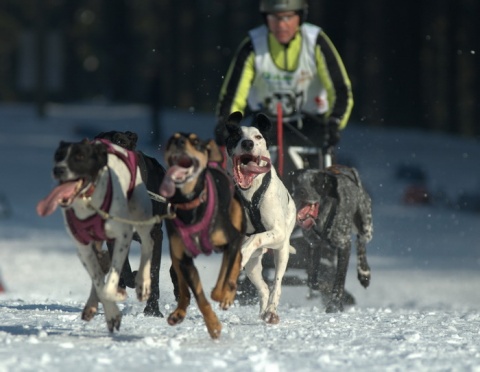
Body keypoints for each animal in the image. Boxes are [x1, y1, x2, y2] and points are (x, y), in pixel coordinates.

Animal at [159, 132, 246, 338]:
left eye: (196, 141)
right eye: (171, 139)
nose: (179, 141)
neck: (190, 204)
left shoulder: (232, 239)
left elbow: (224, 278)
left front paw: (223, 294)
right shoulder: (185, 259)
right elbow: (200, 297)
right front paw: (213, 325)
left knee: (237, 260)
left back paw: (228, 292)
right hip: (176, 255)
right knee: (183, 290)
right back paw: (178, 312)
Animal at [288, 167, 372, 312]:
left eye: (316, 182)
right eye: (297, 181)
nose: (300, 191)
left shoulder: (344, 245)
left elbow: (339, 280)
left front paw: (335, 303)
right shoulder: (314, 245)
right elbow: (313, 281)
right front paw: (326, 287)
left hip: (366, 227)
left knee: (360, 241)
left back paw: (364, 273)